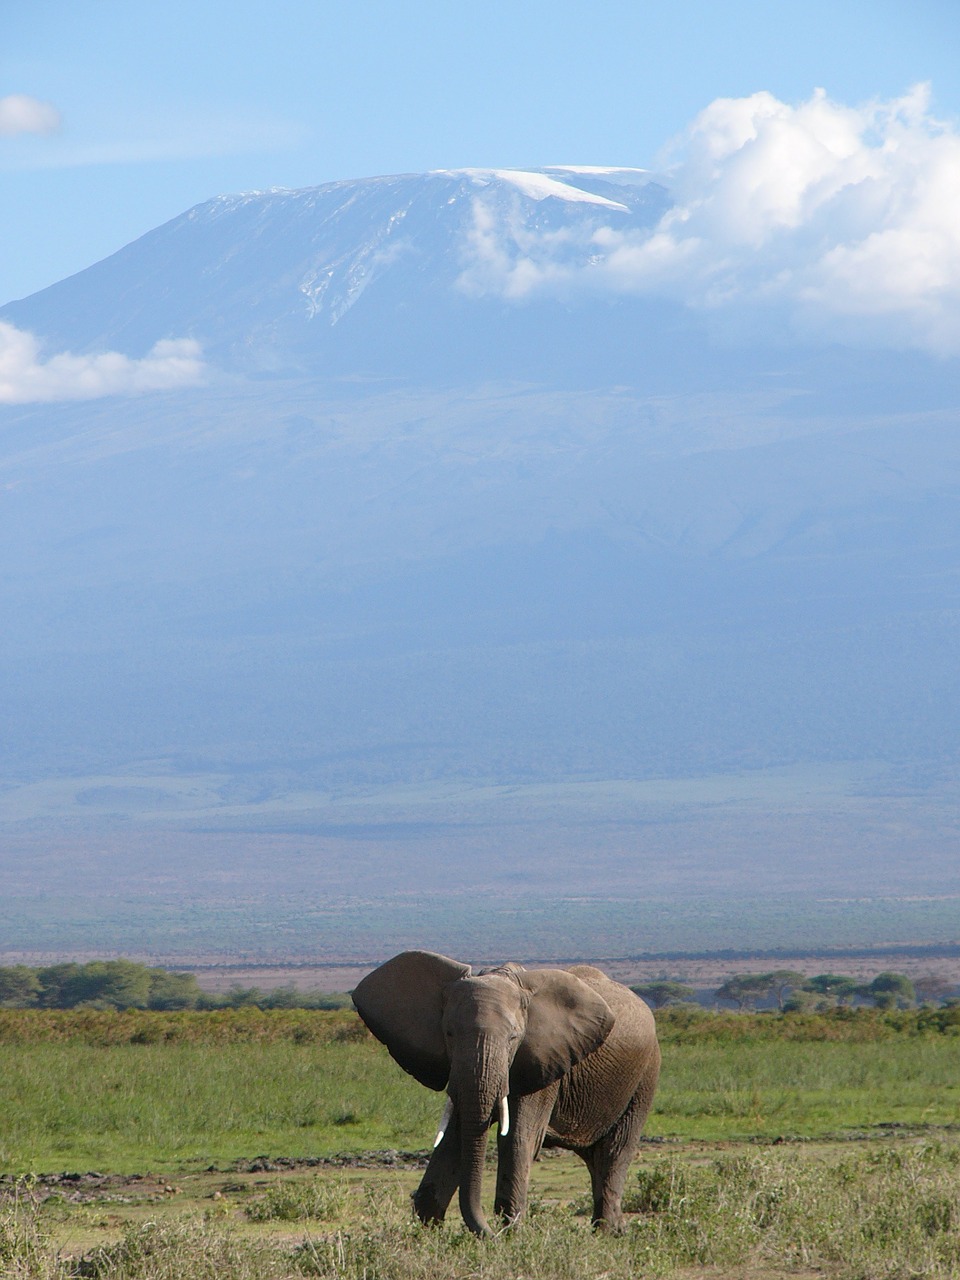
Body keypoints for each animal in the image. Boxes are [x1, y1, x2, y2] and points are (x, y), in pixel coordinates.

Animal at [353, 952, 660, 1228]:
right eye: (449, 1033)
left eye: (514, 1037)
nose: (488, 1232)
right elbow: (454, 1138)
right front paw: (427, 1233)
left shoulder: (544, 1061)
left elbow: (517, 1138)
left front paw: (509, 1234)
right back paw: (615, 1231)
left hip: (645, 1075)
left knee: (615, 1151)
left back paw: (605, 1233)